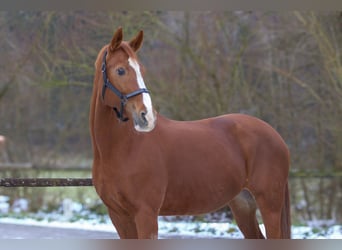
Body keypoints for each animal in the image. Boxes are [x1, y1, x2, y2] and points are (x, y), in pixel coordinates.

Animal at [89, 26, 290, 238]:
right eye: (120, 70)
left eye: (141, 70)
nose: (147, 116)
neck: (123, 148)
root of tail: (276, 136)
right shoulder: (119, 216)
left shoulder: (146, 214)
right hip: (243, 204)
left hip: (270, 205)